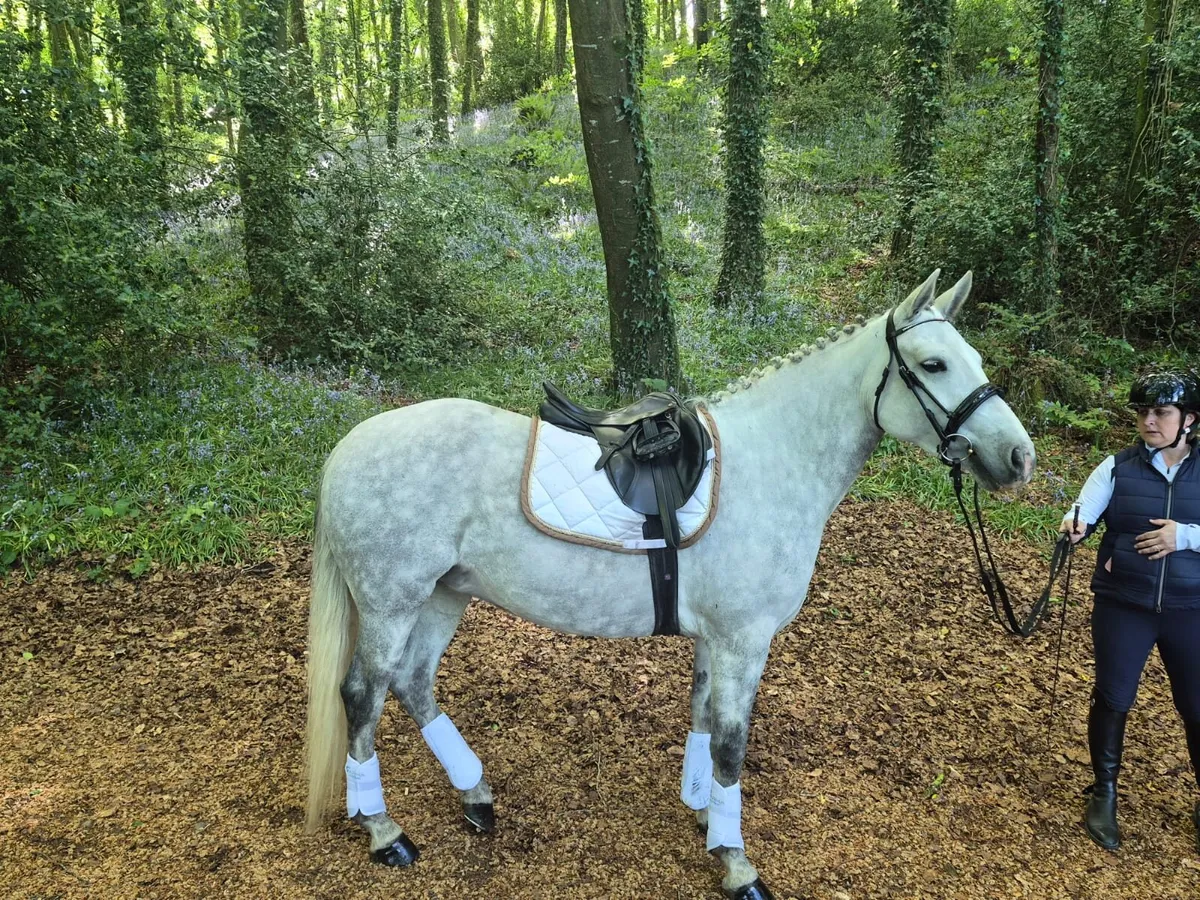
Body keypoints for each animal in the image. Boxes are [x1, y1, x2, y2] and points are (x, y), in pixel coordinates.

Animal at [303, 270, 1036, 899]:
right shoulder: (744, 640)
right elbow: (734, 743)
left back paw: (476, 797)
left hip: (445, 592)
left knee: (412, 682)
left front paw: (707, 814)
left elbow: (705, 720)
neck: (771, 462)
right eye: (934, 365)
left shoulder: (719, 639)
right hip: (392, 600)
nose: (1019, 457)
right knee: (364, 696)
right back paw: (385, 834)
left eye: (972, 357)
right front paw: (738, 865)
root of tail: (348, 448)